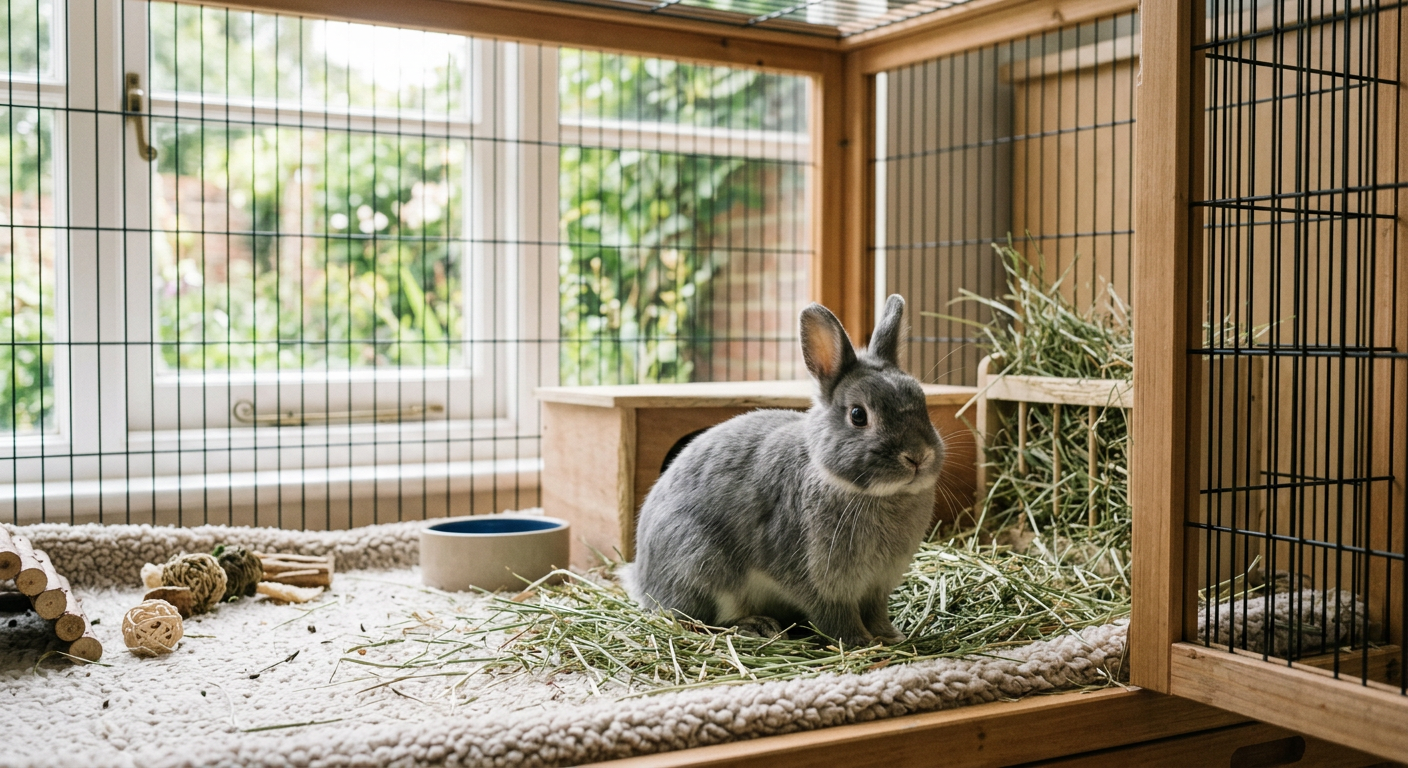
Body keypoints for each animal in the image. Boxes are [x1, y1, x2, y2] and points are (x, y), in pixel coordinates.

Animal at [620, 294, 943, 647]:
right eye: (859, 415)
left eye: (923, 403)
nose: (918, 456)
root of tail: (644, 581)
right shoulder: (819, 581)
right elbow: (836, 617)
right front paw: (860, 642)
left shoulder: (877, 587)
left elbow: (876, 612)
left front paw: (891, 636)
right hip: (700, 563)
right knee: (700, 621)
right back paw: (756, 625)